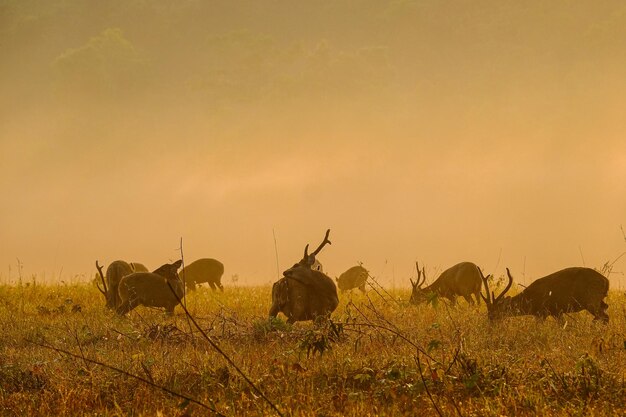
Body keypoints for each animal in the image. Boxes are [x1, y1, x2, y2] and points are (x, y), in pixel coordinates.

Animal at [476, 266, 608, 322]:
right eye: (488, 314)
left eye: (495, 314)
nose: (491, 326)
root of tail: (606, 281)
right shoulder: (554, 312)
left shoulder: (544, 312)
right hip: (598, 301)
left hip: (591, 300)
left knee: (604, 317)